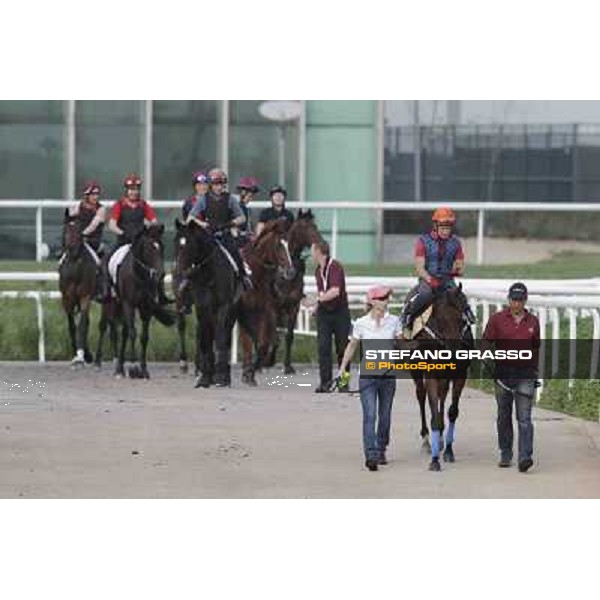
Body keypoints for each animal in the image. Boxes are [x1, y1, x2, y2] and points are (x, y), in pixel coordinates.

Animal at [58, 213, 99, 368]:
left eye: (79, 230)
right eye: (65, 230)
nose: (72, 250)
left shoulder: (85, 296)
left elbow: (81, 326)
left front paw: (80, 357)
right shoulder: (67, 298)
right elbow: (72, 326)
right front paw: (76, 354)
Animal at [94, 225, 173, 380]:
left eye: (162, 247)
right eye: (150, 248)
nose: (161, 274)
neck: (139, 275)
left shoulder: (146, 307)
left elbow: (144, 337)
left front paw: (144, 369)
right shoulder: (128, 304)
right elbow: (132, 333)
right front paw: (134, 366)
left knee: (122, 333)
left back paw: (120, 367)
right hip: (111, 305)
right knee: (109, 330)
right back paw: (109, 365)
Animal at [238, 219, 296, 384]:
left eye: (288, 244)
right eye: (278, 244)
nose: (291, 271)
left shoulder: (266, 310)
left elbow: (263, 343)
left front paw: (252, 371)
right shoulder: (242, 311)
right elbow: (247, 341)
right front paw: (248, 372)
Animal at [264, 209, 324, 372]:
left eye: (315, 225)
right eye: (304, 226)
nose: (322, 244)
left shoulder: (293, 306)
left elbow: (288, 335)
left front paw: (288, 365)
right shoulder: (273, 306)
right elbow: (274, 334)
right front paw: (268, 360)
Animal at [408, 286, 474, 474]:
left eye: (462, 320)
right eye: (441, 320)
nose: (454, 351)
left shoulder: (460, 374)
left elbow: (452, 412)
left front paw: (449, 451)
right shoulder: (430, 374)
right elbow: (434, 415)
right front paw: (435, 460)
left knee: (441, 397)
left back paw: (441, 441)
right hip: (416, 370)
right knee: (421, 396)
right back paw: (426, 441)